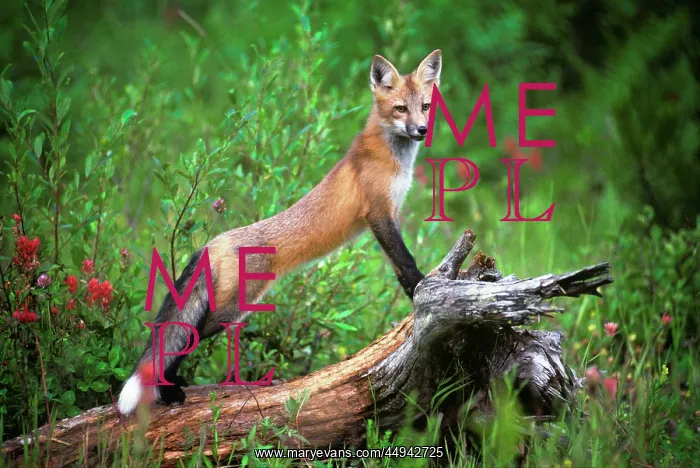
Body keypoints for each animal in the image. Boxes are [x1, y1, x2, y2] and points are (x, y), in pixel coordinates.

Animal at [117, 49, 443, 415]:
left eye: (425, 106)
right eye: (400, 108)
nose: (421, 129)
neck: (392, 158)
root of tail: (214, 242)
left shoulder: (391, 215)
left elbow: (397, 265)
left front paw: (411, 293)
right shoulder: (378, 213)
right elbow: (406, 259)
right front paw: (422, 285)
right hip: (230, 309)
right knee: (185, 337)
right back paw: (167, 390)